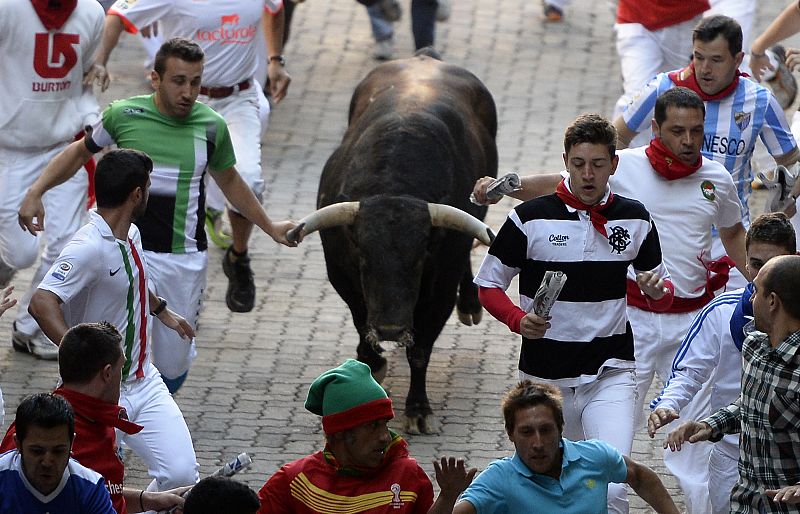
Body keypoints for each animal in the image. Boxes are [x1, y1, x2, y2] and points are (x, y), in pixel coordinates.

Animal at [290, 55, 496, 432]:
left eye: (419, 258)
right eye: (363, 258)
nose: (390, 329)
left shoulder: (440, 286)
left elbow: (421, 349)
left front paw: (418, 409)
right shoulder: (340, 273)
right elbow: (360, 318)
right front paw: (374, 363)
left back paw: (470, 305)